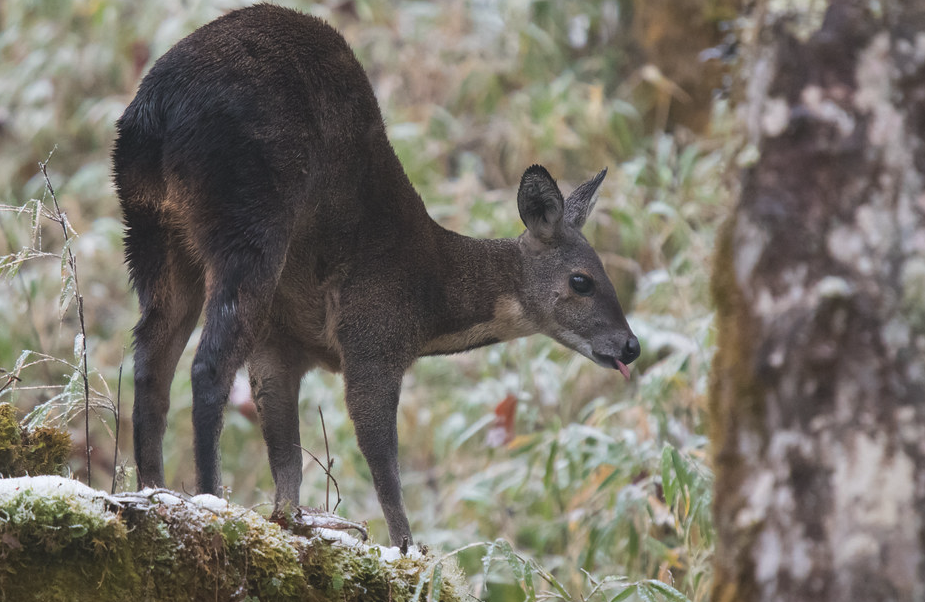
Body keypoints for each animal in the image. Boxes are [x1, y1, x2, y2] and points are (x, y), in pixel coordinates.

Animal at [112, 3, 640, 544]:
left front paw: (296, 524)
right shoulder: (372, 336)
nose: (630, 346)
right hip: (250, 223)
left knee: (149, 360)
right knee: (206, 365)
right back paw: (209, 500)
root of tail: (155, 111)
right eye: (582, 280)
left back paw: (153, 491)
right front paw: (406, 548)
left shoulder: (281, 344)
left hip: (150, 229)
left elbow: (286, 456)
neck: (429, 300)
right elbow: (382, 462)